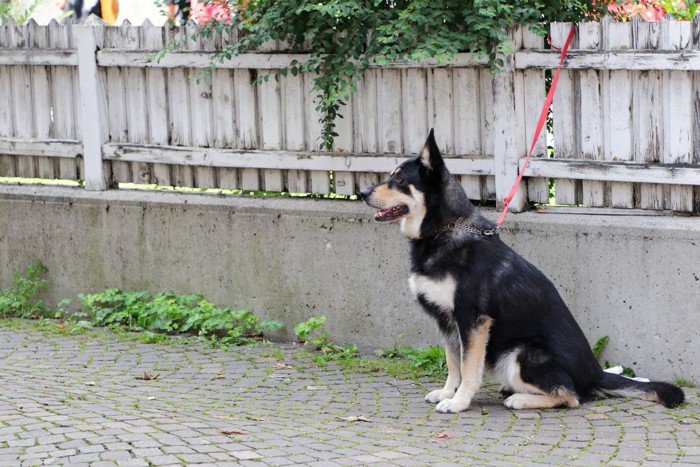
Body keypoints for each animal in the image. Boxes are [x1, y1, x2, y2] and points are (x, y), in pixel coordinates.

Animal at [360, 130, 684, 412]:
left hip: (519, 353)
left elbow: (468, 368)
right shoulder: (447, 322)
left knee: (571, 396)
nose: (362, 192)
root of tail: (595, 373)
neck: (442, 230)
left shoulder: (473, 320)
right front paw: (447, 391)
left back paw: (521, 399)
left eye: (399, 179)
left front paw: (459, 401)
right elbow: (454, 363)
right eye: (392, 175)